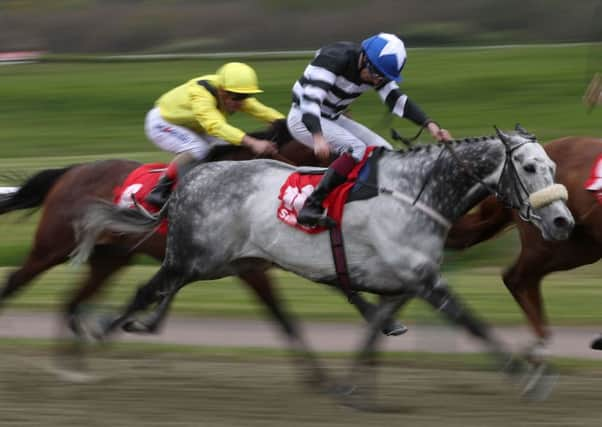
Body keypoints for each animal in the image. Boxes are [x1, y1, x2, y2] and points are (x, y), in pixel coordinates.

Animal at [72, 125, 568, 402]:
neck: (415, 193)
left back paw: (136, 326)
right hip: (197, 256)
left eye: (552, 166)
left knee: (163, 290)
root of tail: (191, 178)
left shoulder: (406, 284)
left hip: (220, 261)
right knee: (149, 288)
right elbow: (474, 325)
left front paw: (352, 390)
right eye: (527, 167)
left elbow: (372, 332)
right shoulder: (426, 282)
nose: (562, 220)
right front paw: (530, 379)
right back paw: (96, 337)